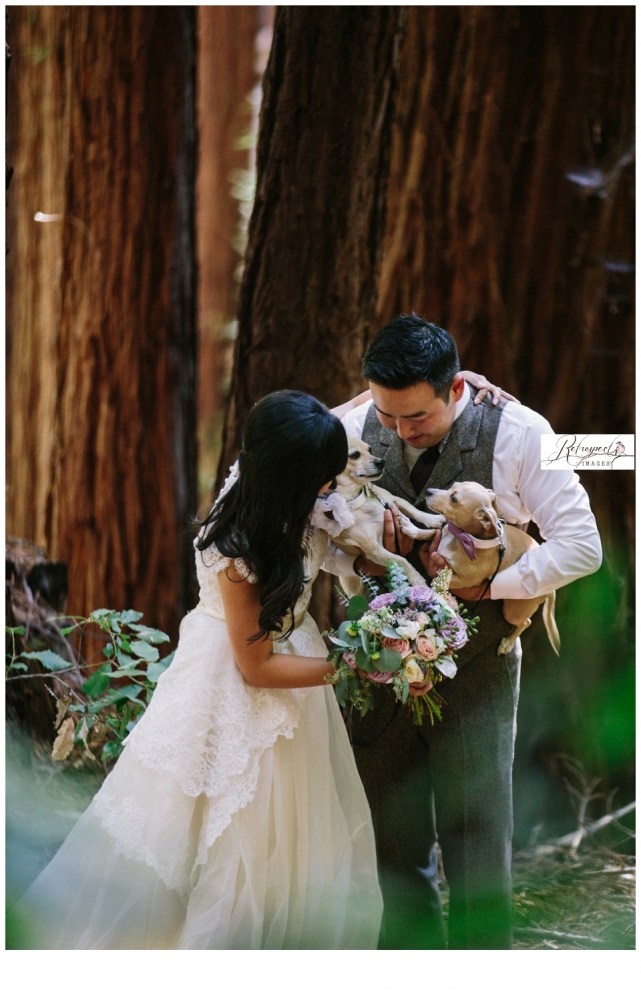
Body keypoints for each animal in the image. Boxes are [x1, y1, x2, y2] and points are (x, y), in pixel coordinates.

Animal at [324, 438, 444, 592]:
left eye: (370, 450)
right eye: (355, 455)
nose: (381, 461)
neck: (360, 501)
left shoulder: (394, 501)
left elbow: (415, 513)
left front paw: (434, 521)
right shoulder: (375, 550)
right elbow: (401, 559)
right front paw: (416, 578)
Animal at [398, 482, 556, 656]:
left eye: (453, 499)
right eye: (453, 486)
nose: (428, 491)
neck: (461, 537)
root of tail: (551, 589)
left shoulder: (465, 581)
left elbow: (440, 580)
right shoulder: (443, 533)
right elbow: (432, 532)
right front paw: (411, 529)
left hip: (513, 611)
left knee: (525, 622)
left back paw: (508, 643)